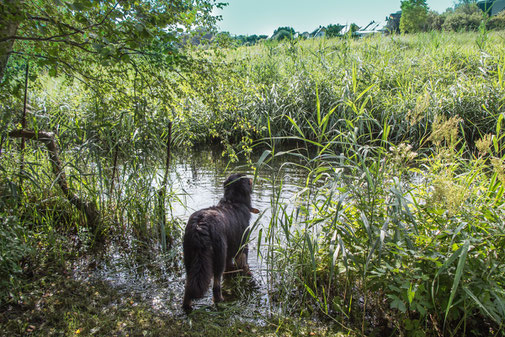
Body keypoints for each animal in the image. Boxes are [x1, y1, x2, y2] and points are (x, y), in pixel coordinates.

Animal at [182, 173, 258, 310]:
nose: (251, 178)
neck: (233, 201)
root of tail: (200, 225)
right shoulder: (243, 245)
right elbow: (244, 264)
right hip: (219, 257)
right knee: (216, 286)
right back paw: (221, 301)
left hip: (189, 257)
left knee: (188, 286)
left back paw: (187, 306)